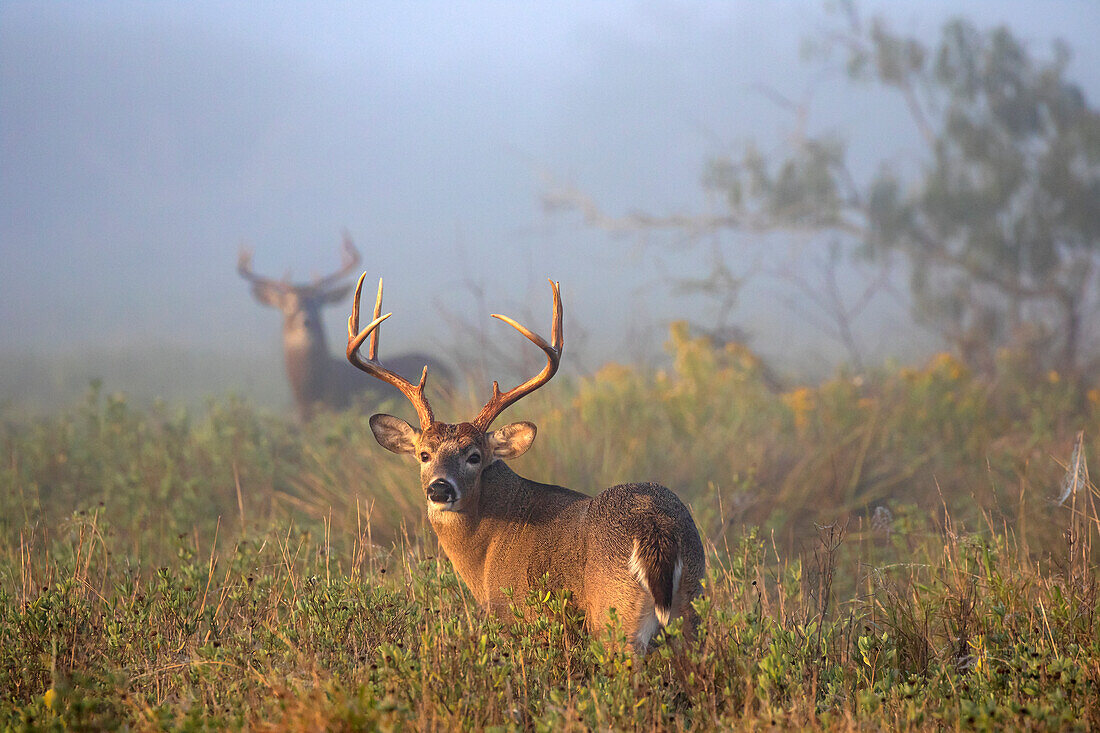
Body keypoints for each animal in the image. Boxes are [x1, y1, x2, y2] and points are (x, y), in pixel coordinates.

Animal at [345, 275, 704, 651]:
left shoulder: (519, 614)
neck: (486, 548)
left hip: (615, 617)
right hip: (691, 605)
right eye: (424, 454)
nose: (440, 489)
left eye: (474, 456)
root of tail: (655, 528)